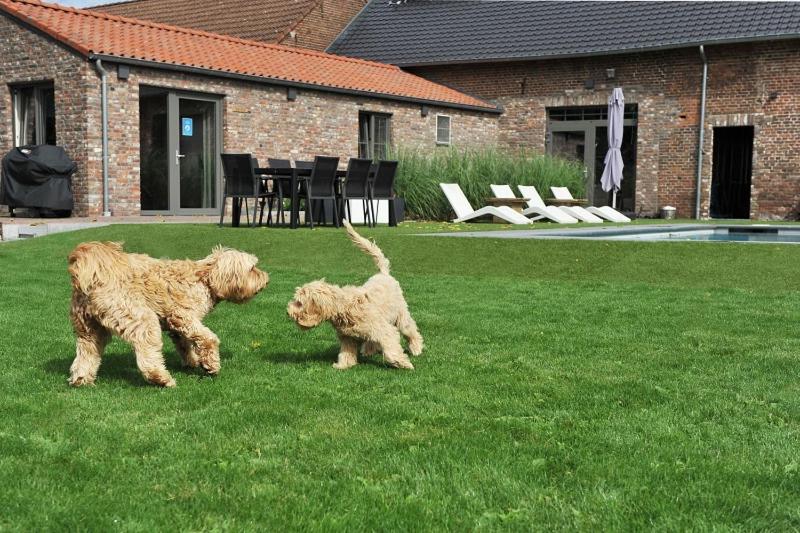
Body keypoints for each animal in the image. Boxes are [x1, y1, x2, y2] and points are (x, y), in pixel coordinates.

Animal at [69, 241, 268, 386]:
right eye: (252, 268)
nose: (266, 279)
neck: (205, 279)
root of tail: (95, 276)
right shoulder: (183, 316)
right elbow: (208, 339)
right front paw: (211, 365)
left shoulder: (177, 326)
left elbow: (184, 345)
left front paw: (193, 362)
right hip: (140, 319)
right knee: (147, 352)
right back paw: (161, 378)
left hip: (89, 329)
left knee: (86, 353)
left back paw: (81, 379)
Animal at [290, 221, 424, 370]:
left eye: (299, 303)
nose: (288, 310)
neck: (344, 307)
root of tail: (383, 273)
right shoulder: (347, 337)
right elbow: (346, 353)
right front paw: (342, 366)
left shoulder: (385, 330)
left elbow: (391, 351)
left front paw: (403, 364)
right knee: (373, 340)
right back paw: (369, 350)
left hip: (401, 317)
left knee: (411, 330)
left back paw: (416, 348)